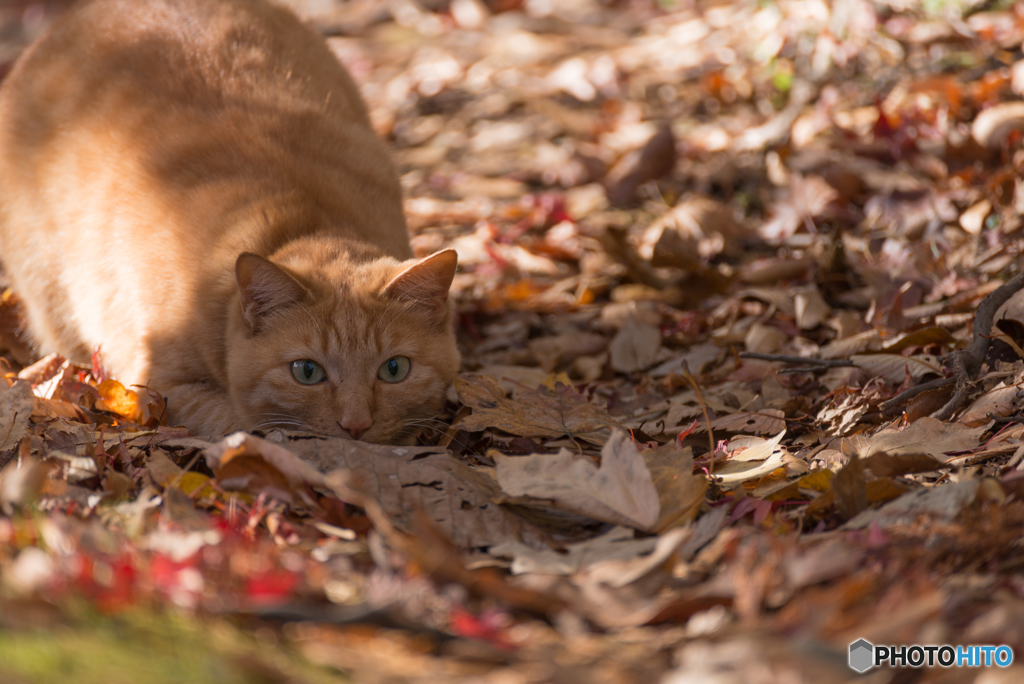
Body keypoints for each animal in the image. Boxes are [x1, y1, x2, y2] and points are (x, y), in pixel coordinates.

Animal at [0, 0, 460, 444]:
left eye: (394, 369)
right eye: (307, 371)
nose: (356, 426)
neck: (305, 220)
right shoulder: (157, 390)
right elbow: (242, 420)